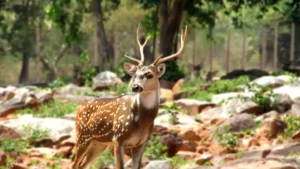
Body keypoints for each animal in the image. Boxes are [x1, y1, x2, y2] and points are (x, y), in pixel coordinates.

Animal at [71, 24, 186, 169]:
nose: (135, 87)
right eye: (135, 74)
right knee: (74, 164)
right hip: (82, 136)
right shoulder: (118, 139)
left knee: (83, 165)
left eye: (149, 75)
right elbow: (119, 166)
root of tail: (79, 107)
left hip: (98, 143)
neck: (141, 123)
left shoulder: (142, 142)